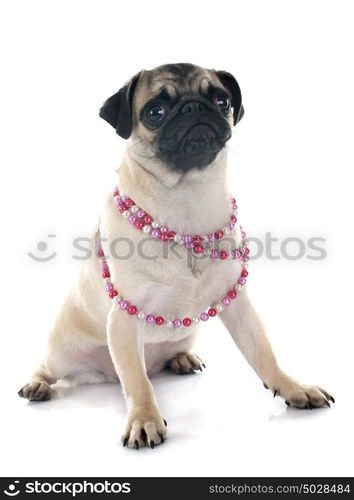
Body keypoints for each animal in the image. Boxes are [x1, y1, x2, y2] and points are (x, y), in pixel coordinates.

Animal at [18, 62, 334, 450]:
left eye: (221, 100)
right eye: (154, 112)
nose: (193, 107)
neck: (187, 202)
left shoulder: (239, 305)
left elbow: (263, 352)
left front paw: (292, 388)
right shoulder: (124, 318)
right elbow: (138, 382)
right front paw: (144, 420)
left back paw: (181, 359)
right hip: (63, 352)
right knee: (58, 368)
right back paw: (37, 385)